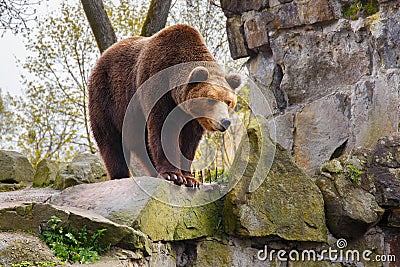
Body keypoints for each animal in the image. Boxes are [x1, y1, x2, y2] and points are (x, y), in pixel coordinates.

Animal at [88, 24, 241, 188]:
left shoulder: (191, 116)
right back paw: (120, 175)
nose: (225, 121)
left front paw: (190, 179)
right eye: (211, 99)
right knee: (111, 140)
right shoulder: (157, 83)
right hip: (108, 99)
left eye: (229, 102)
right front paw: (174, 175)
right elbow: (163, 127)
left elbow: (189, 140)